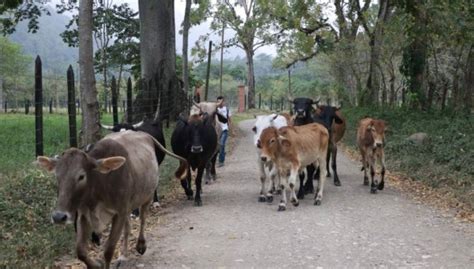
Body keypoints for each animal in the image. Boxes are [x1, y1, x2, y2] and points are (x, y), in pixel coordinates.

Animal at [36, 130, 188, 266]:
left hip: (147, 196)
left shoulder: (119, 213)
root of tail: (144, 134)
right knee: (128, 228)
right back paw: (123, 255)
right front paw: (96, 264)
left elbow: (108, 250)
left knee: (143, 219)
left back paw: (140, 245)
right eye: (57, 176)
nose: (58, 217)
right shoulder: (84, 215)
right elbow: (81, 252)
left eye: (81, 176)